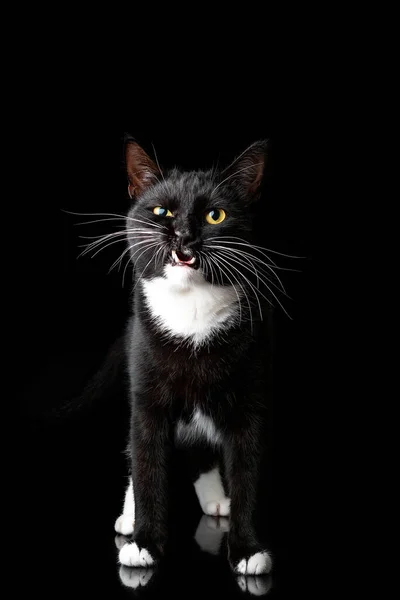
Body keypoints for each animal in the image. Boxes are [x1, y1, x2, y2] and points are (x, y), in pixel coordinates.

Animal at [109, 137, 278, 576]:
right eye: (161, 211)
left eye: (215, 215)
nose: (183, 236)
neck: (192, 313)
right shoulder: (146, 390)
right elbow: (147, 462)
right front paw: (144, 543)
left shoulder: (251, 396)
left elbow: (248, 468)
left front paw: (248, 549)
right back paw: (129, 517)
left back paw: (218, 500)